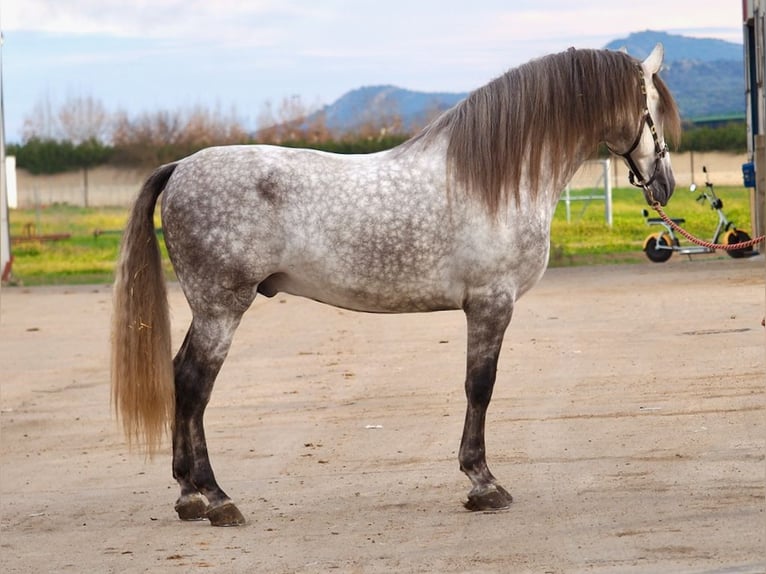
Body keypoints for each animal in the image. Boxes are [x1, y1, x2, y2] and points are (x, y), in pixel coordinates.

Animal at [112, 47, 680, 528]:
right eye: (651, 106)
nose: (666, 184)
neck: (497, 179)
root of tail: (182, 166)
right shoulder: (491, 304)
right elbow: (480, 386)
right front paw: (483, 484)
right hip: (221, 308)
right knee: (193, 384)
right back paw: (217, 499)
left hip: (210, 309)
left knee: (181, 379)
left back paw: (189, 496)